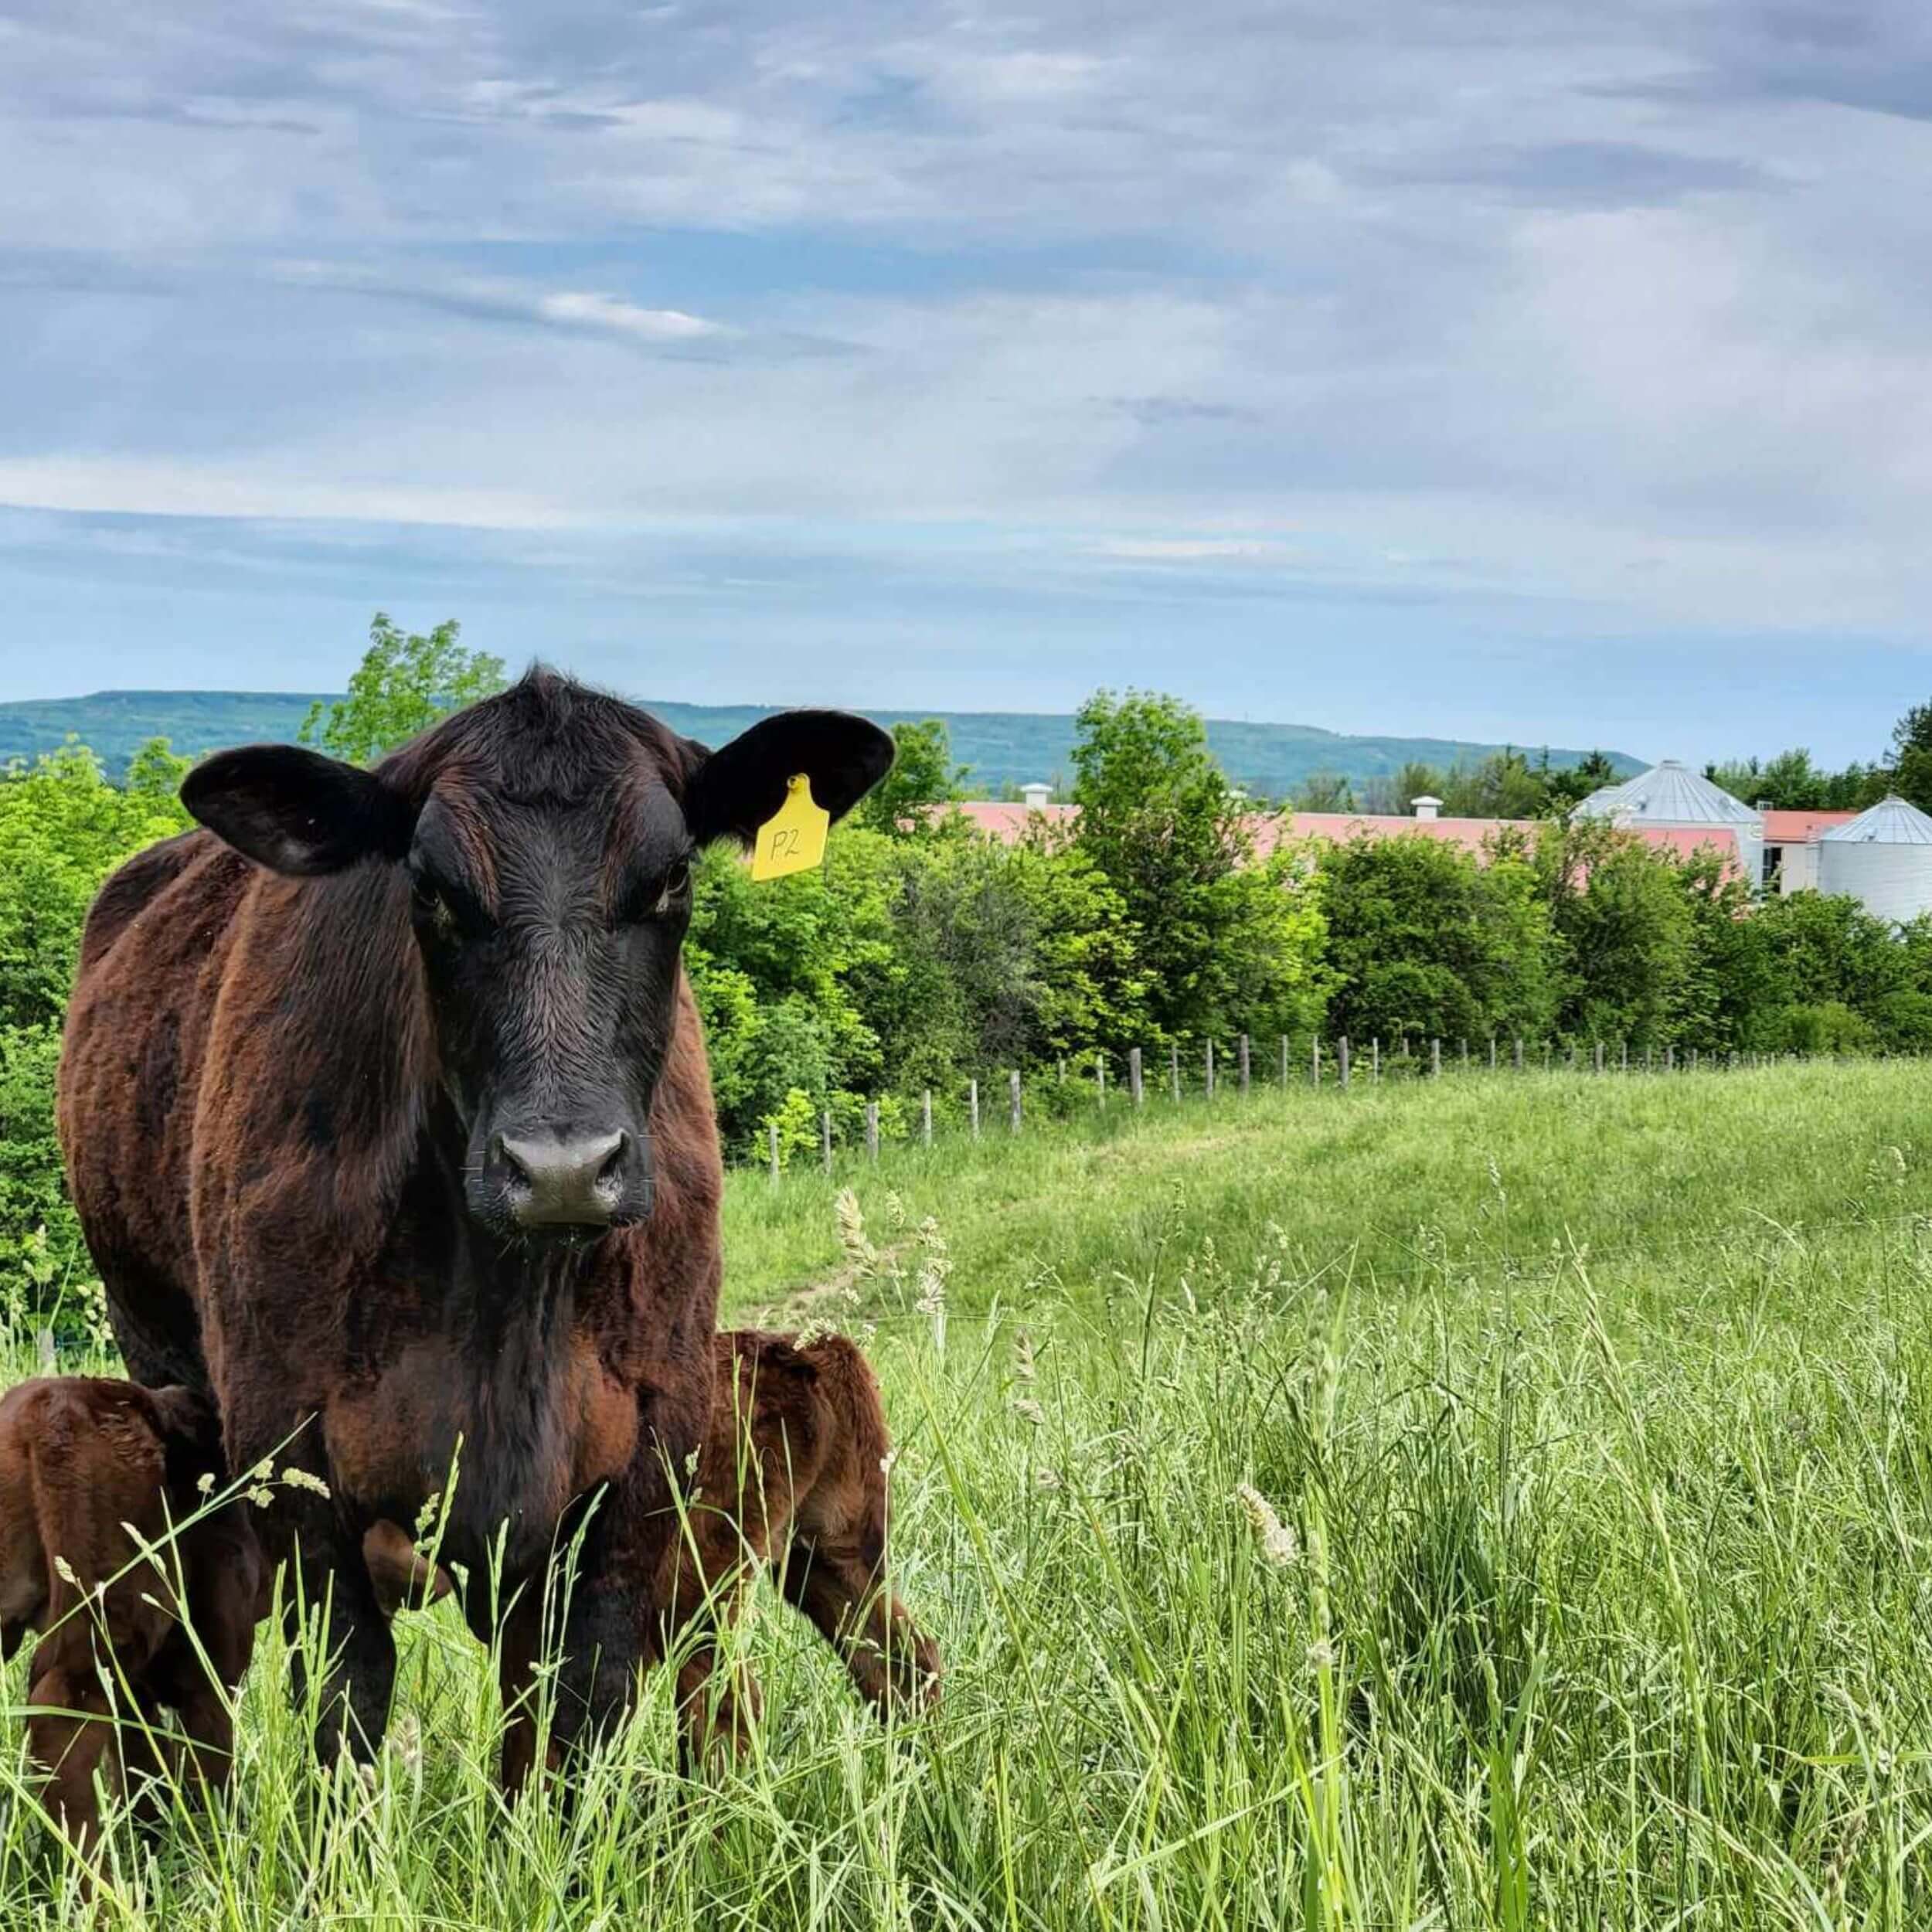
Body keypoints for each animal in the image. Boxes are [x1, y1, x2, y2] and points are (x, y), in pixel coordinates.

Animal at [0, 1376, 260, 1855]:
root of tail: (45, 1408)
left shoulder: (137, 1691)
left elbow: (142, 1766)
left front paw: (152, 1843)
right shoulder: (214, 1665)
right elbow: (209, 1762)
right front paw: (218, 1846)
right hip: (109, 1613)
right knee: (61, 1718)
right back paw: (89, 1871)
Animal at [56, 672, 893, 1770]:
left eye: (672, 878)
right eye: (430, 889)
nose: (562, 1169)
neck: (503, 1312)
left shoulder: (642, 1463)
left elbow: (573, 1713)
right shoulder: (294, 1459)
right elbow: (347, 1702)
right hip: (159, 1361)